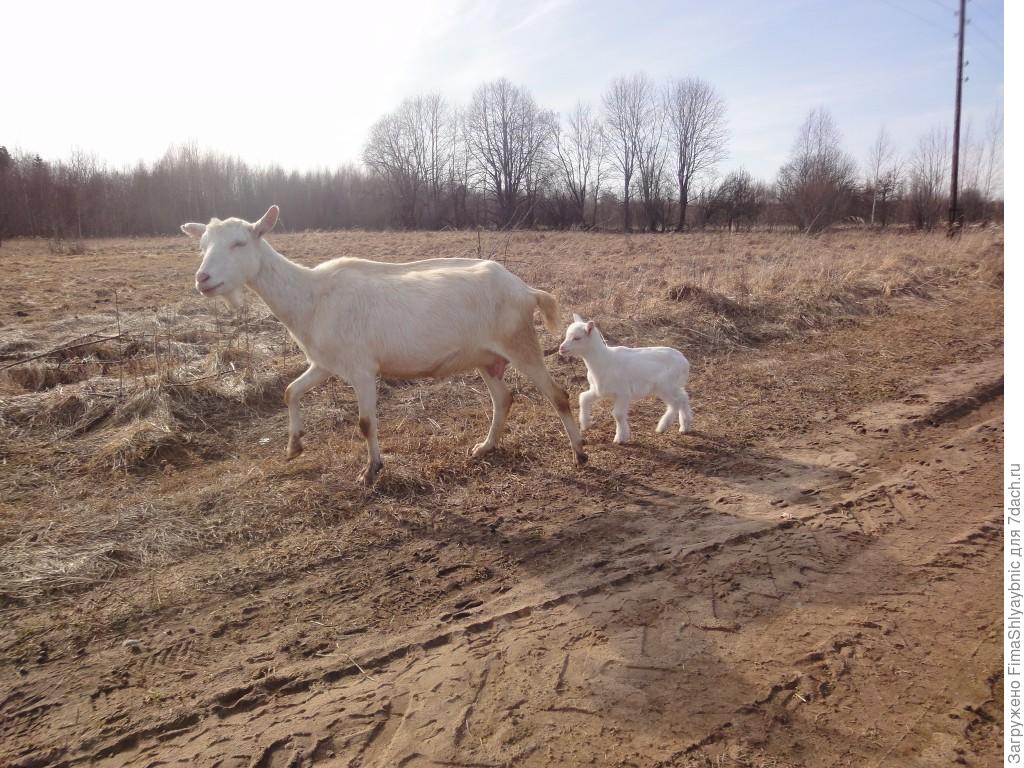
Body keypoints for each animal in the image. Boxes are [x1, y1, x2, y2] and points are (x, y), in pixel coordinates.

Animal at [180, 207, 589, 483]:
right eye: (202, 245)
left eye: (239, 242)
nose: (203, 279)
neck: (311, 297)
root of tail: (526, 289)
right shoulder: (324, 363)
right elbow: (290, 391)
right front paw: (294, 446)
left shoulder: (362, 368)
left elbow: (364, 423)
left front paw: (371, 471)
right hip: (487, 357)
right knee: (503, 398)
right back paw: (484, 448)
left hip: (520, 342)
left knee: (558, 394)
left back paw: (580, 454)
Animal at [557, 313, 692, 444]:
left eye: (577, 338)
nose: (561, 348)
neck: (604, 360)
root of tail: (685, 362)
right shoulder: (599, 390)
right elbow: (583, 397)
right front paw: (585, 424)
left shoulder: (623, 392)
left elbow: (618, 414)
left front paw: (620, 438)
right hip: (673, 385)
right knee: (683, 397)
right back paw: (685, 426)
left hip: (665, 385)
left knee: (675, 402)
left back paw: (663, 426)